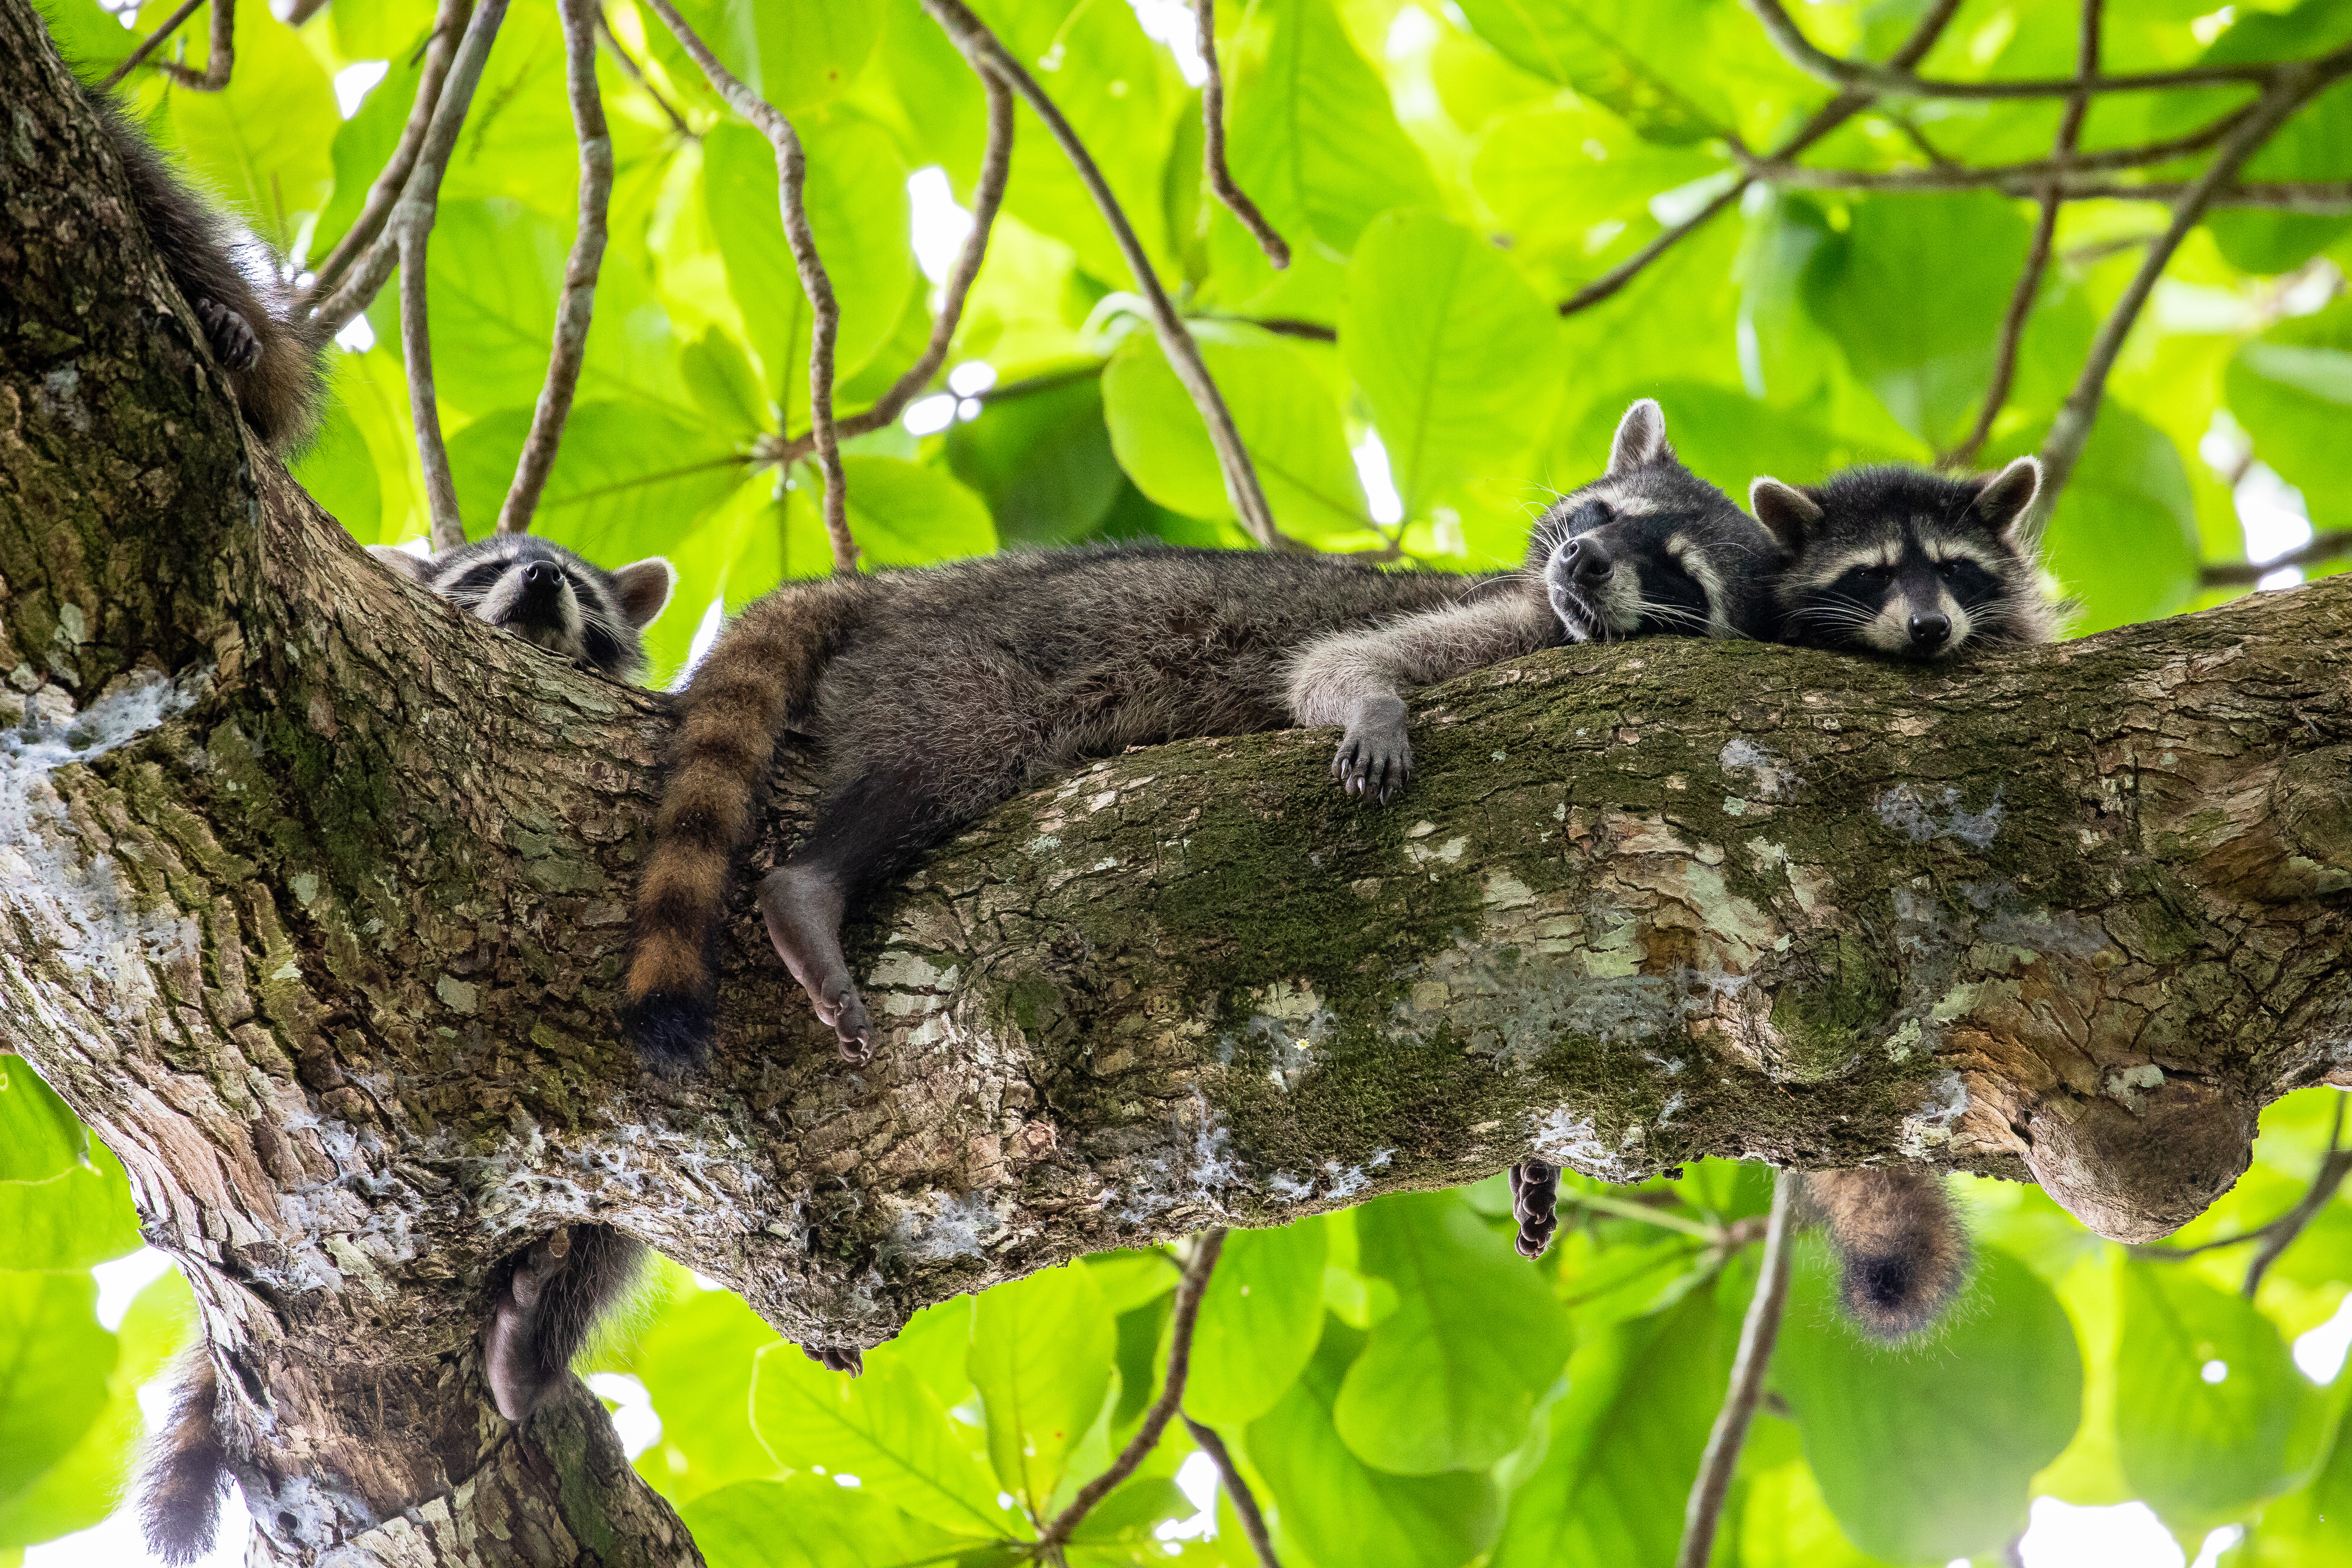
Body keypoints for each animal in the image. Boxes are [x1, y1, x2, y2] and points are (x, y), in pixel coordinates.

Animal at [621, 399, 1769, 1072]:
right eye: (1605, 511)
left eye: (1673, 568)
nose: (1582, 563)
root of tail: (904, 590)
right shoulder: (1515, 615)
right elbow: (1336, 664)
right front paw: (1374, 706)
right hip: (962, 661)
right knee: (943, 755)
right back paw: (810, 887)